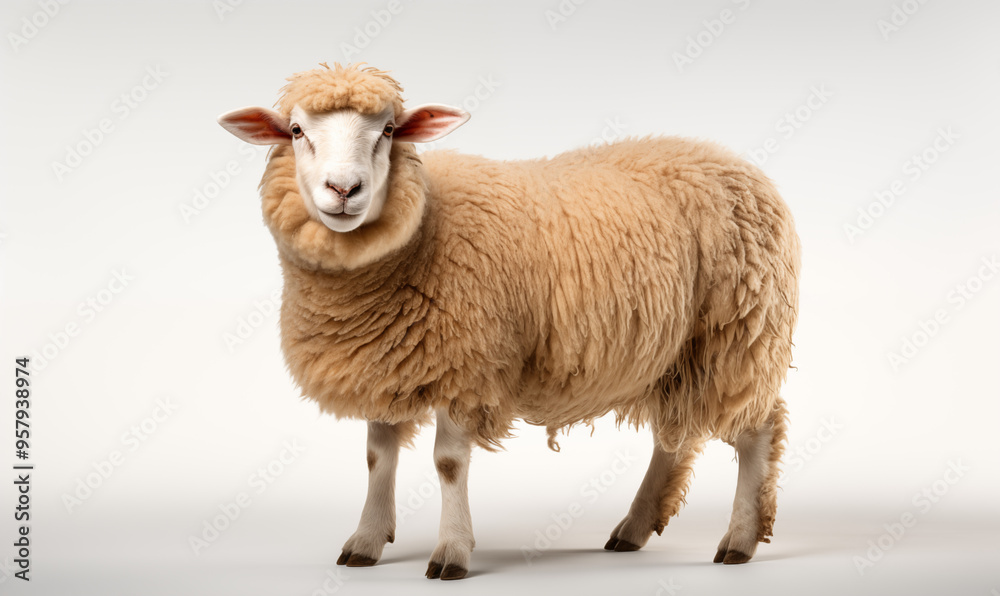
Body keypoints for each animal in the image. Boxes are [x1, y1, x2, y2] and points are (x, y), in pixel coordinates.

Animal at [218, 63, 800, 581]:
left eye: (387, 130)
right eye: (296, 131)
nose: (344, 189)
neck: (422, 232)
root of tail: (735, 162)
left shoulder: (466, 364)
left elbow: (448, 464)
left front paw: (451, 553)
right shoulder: (387, 361)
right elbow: (376, 458)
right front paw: (365, 541)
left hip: (738, 334)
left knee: (758, 429)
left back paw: (740, 539)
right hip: (676, 352)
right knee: (673, 436)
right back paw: (634, 527)